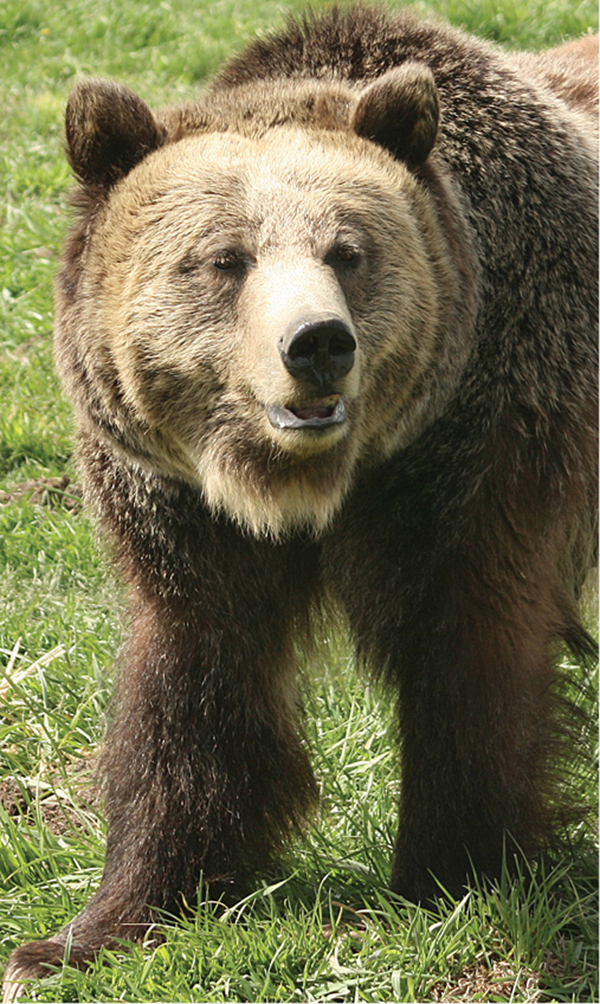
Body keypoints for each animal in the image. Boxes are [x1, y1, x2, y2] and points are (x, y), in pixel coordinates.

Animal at [2, 5, 597, 995]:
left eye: (348, 252)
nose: (317, 343)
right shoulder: (185, 509)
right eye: (224, 259)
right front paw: (88, 933)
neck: (304, 483)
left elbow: (470, 651)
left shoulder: (480, 447)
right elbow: (198, 679)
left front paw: (455, 873)